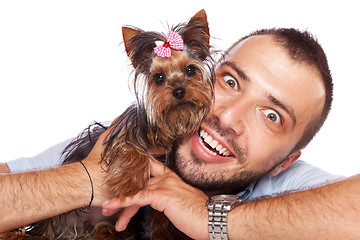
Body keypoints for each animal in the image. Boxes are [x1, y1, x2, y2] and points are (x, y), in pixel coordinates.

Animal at [0, 9, 212, 240]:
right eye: (158, 77)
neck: (170, 123)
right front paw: (129, 181)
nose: (179, 91)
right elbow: (130, 149)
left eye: (190, 70)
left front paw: (163, 232)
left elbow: (161, 214)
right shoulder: (123, 132)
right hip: (56, 215)